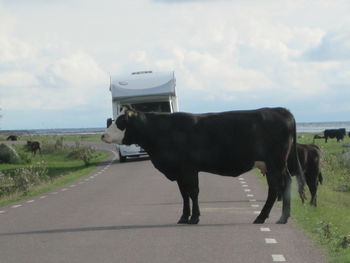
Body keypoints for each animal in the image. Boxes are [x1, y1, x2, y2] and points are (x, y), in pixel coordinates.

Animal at [101, 106, 304, 225]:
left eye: (120, 122)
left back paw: (263, 217)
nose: (103, 135)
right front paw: (184, 217)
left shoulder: (188, 169)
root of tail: (280, 110)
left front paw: (194, 218)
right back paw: (282, 217)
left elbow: (193, 192)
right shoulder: (180, 172)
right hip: (276, 165)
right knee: (285, 183)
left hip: (275, 163)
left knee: (276, 187)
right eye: (113, 120)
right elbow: (184, 194)